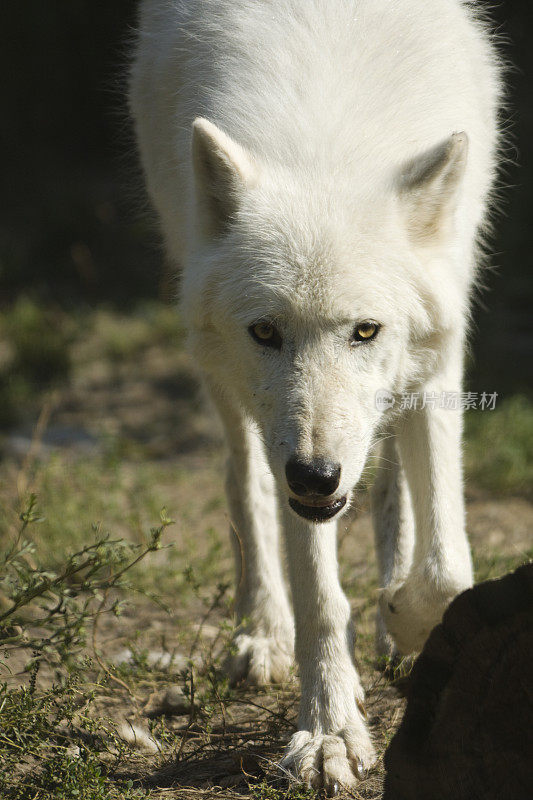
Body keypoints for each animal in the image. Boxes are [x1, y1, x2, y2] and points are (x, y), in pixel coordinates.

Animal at [129, 0, 498, 788]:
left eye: (365, 330)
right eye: (266, 331)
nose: (315, 474)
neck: (330, 150)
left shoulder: (439, 359)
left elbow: (447, 569)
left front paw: (401, 615)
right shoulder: (292, 461)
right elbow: (321, 598)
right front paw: (329, 731)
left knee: (388, 485)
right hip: (219, 373)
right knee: (243, 480)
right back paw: (263, 633)